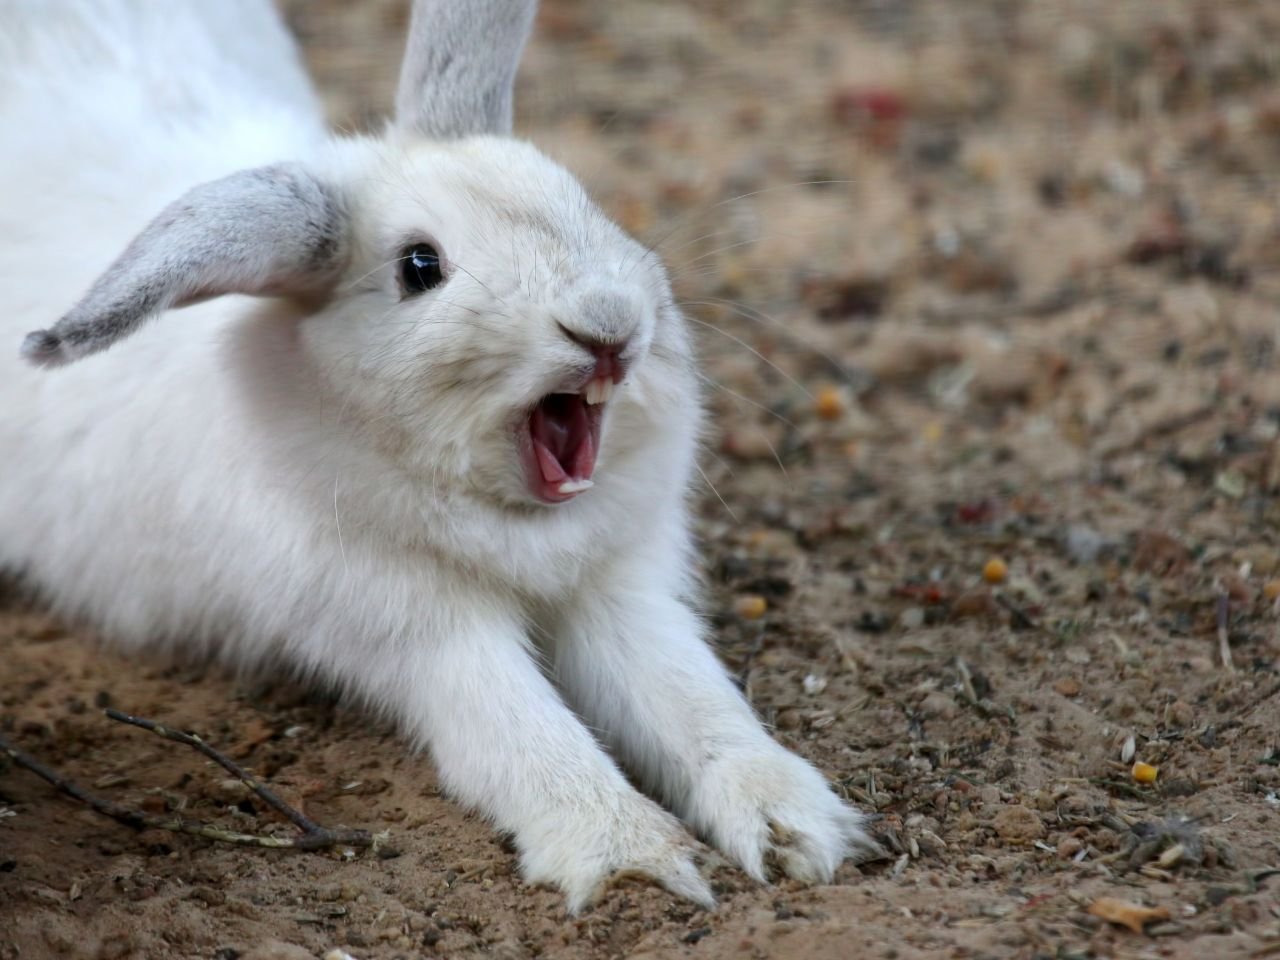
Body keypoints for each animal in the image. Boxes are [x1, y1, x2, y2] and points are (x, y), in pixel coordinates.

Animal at [0, 0, 879, 911]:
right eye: (419, 266)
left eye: (581, 199)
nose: (608, 325)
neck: (519, 521)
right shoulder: (422, 631)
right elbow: (523, 732)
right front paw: (631, 859)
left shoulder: (622, 593)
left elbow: (691, 699)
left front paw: (795, 829)